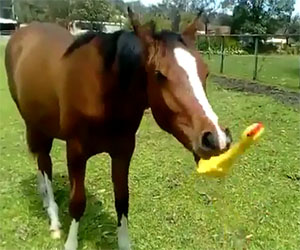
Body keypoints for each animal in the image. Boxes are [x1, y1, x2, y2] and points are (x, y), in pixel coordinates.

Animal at [4, 8, 232, 250]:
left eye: (205, 72)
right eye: (159, 74)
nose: (216, 138)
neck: (102, 93)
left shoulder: (123, 151)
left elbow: (122, 201)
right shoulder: (75, 151)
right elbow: (77, 203)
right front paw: (70, 242)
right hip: (35, 126)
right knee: (44, 164)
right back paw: (54, 220)